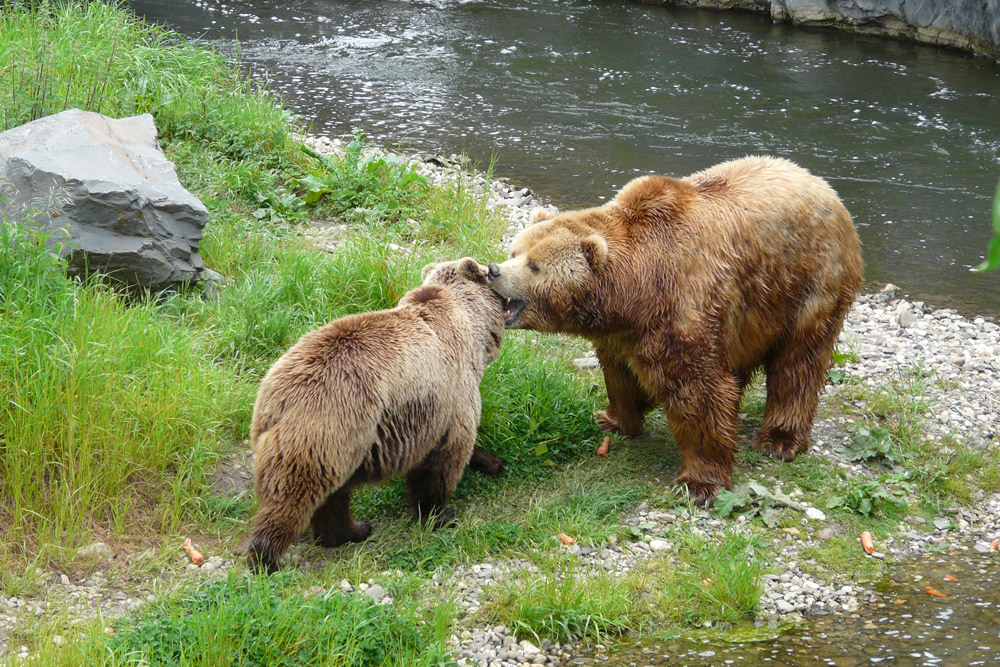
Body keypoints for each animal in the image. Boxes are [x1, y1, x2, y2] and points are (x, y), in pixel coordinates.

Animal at [246, 258, 504, 572]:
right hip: (326, 424)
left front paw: (494, 462)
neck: (472, 326)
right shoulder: (452, 393)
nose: (495, 268)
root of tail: (275, 399)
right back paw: (267, 558)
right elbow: (446, 457)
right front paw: (440, 513)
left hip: (336, 445)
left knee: (332, 495)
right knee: (292, 496)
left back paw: (353, 531)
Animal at [488, 155, 864, 506]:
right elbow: (620, 375)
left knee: (798, 361)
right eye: (515, 249)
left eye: (534, 265)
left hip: (810, 281)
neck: (633, 293)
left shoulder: (683, 305)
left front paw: (700, 483)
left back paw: (779, 439)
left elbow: (699, 391)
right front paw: (613, 418)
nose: (493, 270)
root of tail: (822, 185)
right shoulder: (623, 333)